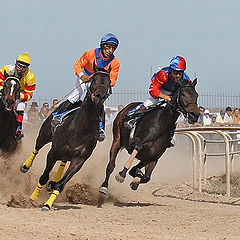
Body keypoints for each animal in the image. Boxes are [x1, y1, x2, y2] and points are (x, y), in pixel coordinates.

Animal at [20, 64, 110, 211]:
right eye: (94, 80)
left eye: (108, 82)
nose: (99, 96)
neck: (80, 128)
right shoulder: (53, 152)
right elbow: (43, 177)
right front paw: (32, 198)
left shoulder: (79, 160)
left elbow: (61, 184)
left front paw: (48, 203)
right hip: (44, 134)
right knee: (37, 147)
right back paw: (25, 166)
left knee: (62, 162)